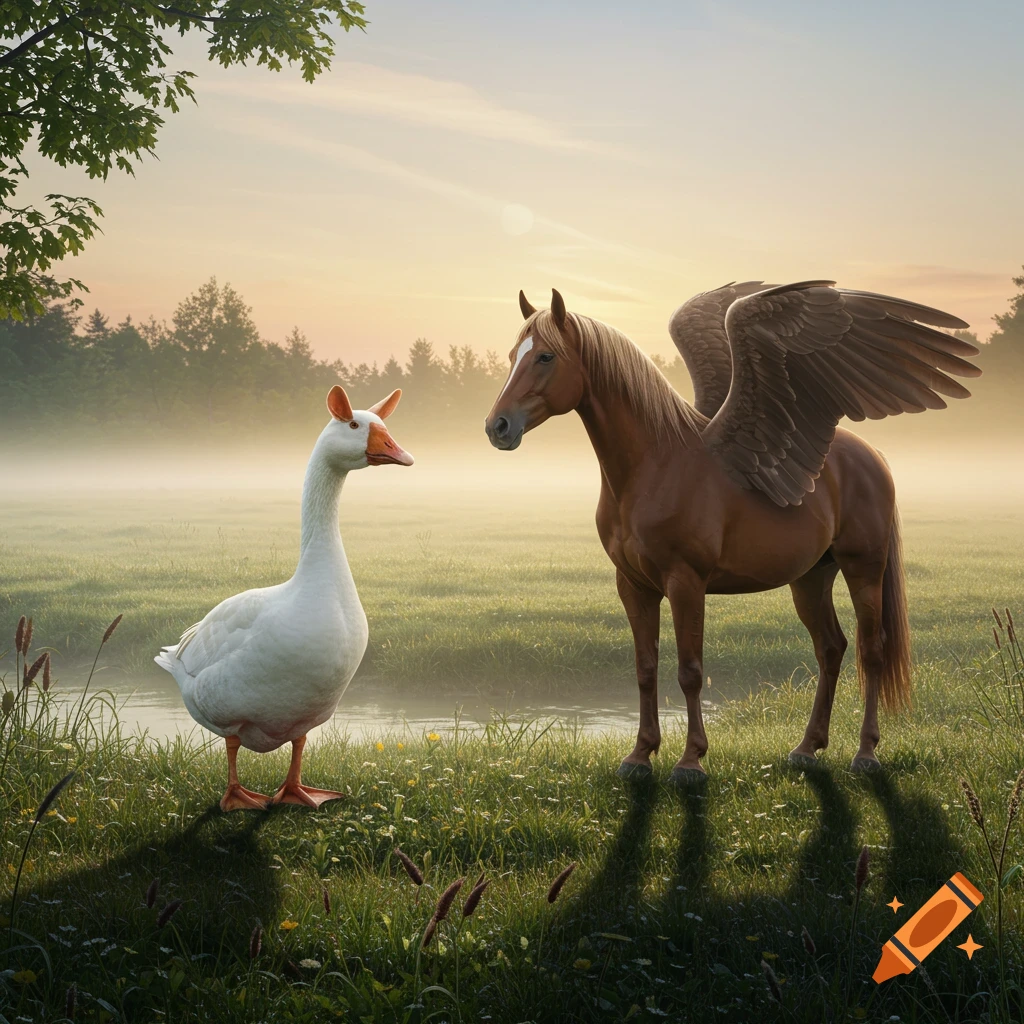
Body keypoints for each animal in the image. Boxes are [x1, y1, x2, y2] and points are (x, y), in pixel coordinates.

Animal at [484, 282, 980, 782]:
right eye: (511, 355)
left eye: (545, 356)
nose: (497, 427)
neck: (654, 466)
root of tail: (871, 455)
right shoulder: (634, 585)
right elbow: (646, 668)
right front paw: (640, 755)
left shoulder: (686, 582)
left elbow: (689, 670)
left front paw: (690, 761)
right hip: (811, 578)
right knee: (831, 648)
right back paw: (807, 748)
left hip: (864, 568)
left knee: (871, 650)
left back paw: (865, 754)